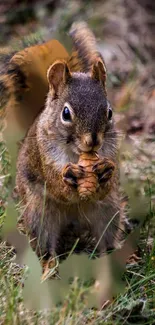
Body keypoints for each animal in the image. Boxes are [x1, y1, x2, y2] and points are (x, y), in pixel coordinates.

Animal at [1, 22, 125, 266]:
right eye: (66, 113)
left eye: (109, 112)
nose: (93, 141)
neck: (77, 154)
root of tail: (73, 222)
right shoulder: (44, 155)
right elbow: (56, 184)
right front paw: (69, 177)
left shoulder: (111, 151)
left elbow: (106, 184)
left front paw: (106, 170)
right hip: (40, 214)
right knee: (44, 245)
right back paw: (50, 266)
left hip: (108, 211)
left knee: (104, 238)